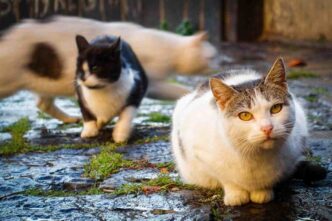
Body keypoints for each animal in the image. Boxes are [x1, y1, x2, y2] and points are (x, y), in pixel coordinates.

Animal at [0, 15, 218, 122]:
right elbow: (178, 90)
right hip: (8, 83)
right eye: (212, 57)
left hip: (46, 83)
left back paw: (71, 119)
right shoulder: (151, 83)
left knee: (43, 104)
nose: (219, 63)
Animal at [172, 58, 310, 205]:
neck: (255, 155)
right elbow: (226, 179)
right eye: (245, 115)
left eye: (276, 108)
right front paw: (236, 195)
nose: (267, 128)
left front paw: (262, 192)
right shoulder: (200, 152)